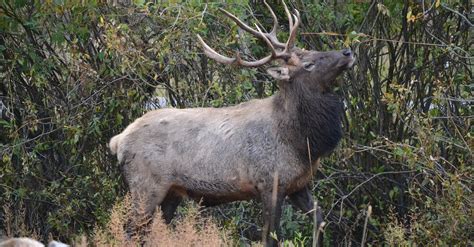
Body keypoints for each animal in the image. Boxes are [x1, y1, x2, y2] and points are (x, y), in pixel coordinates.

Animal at [109, 1, 354, 245]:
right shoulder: (269, 182)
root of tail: (118, 141)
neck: (302, 142)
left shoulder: (299, 183)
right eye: (308, 64)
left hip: (171, 192)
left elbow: (320, 220)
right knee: (131, 232)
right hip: (145, 186)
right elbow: (270, 236)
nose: (348, 52)